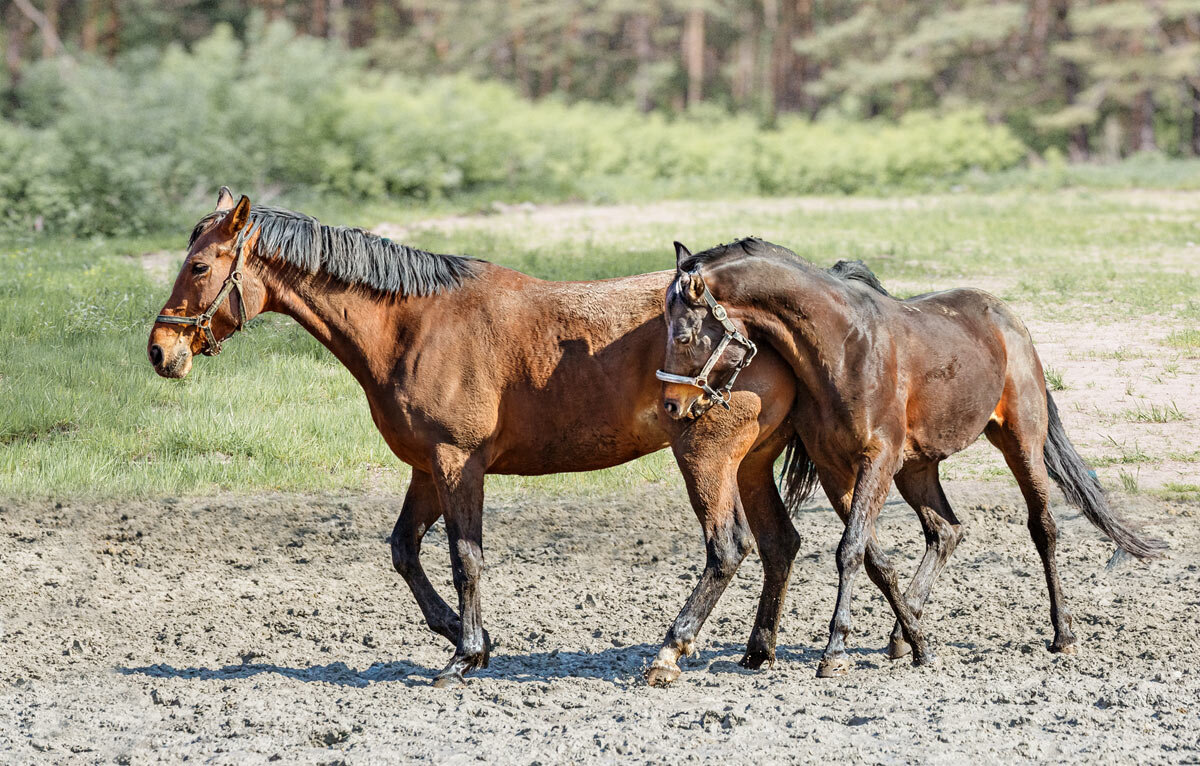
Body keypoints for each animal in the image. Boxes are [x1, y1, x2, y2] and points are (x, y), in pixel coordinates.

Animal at [150, 190, 816, 691]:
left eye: (200, 266)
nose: (161, 350)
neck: (413, 325)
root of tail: (758, 326)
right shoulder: (426, 468)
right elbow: (404, 550)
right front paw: (467, 637)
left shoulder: (457, 463)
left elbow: (465, 557)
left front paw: (465, 653)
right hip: (750, 464)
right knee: (779, 543)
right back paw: (758, 652)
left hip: (705, 458)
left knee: (728, 547)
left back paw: (671, 651)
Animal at [662, 238, 1166, 677]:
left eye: (683, 335)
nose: (670, 405)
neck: (845, 349)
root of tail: (1009, 319)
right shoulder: (836, 470)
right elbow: (873, 559)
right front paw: (918, 643)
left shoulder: (878, 460)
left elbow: (850, 551)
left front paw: (836, 650)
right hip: (918, 469)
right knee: (946, 531)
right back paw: (904, 635)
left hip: (1020, 443)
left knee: (1044, 529)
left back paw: (1063, 634)